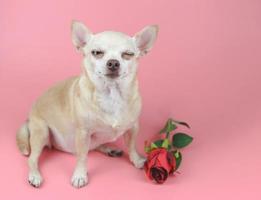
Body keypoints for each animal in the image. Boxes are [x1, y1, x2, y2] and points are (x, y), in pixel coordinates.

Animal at [16, 21, 158, 188]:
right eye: (97, 52)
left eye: (128, 54)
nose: (113, 63)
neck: (112, 95)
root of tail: (28, 119)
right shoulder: (83, 133)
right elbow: (82, 157)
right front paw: (80, 175)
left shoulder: (133, 127)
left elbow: (132, 146)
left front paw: (136, 160)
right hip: (42, 132)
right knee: (32, 159)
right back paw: (35, 176)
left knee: (96, 145)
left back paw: (110, 149)